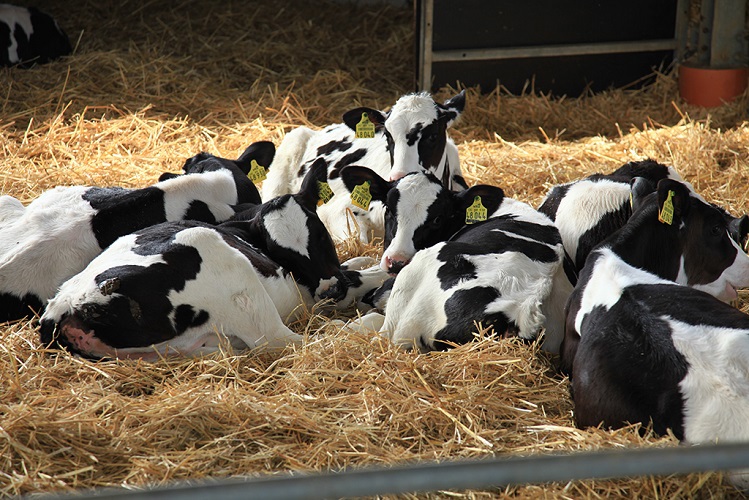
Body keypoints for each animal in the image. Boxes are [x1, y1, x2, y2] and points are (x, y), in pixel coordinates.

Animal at [38, 159, 389, 360]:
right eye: (283, 252)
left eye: (318, 233)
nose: (330, 289)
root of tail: (62, 310)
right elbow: (363, 278)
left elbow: (355, 266)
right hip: (228, 275)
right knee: (292, 340)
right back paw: (369, 321)